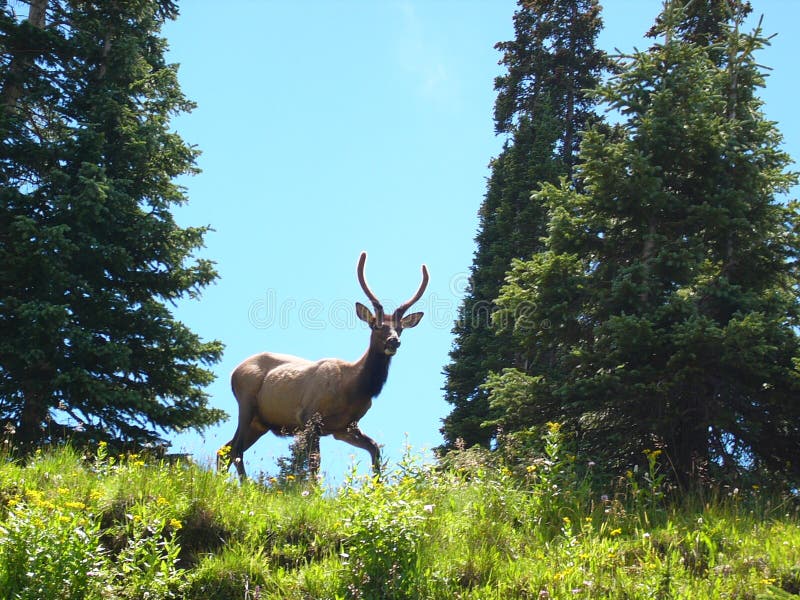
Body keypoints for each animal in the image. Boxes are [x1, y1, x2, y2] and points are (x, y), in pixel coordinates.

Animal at [219, 252, 429, 481]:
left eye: (400, 328)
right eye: (376, 326)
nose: (394, 341)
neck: (354, 388)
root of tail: (233, 372)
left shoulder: (345, 427)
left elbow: (375, 448)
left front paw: (377, 486)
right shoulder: (310, 417)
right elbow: (314, 464)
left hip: (260, 422)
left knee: (224, 450)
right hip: (246, 402)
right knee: (235, 449)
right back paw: (244, 484)